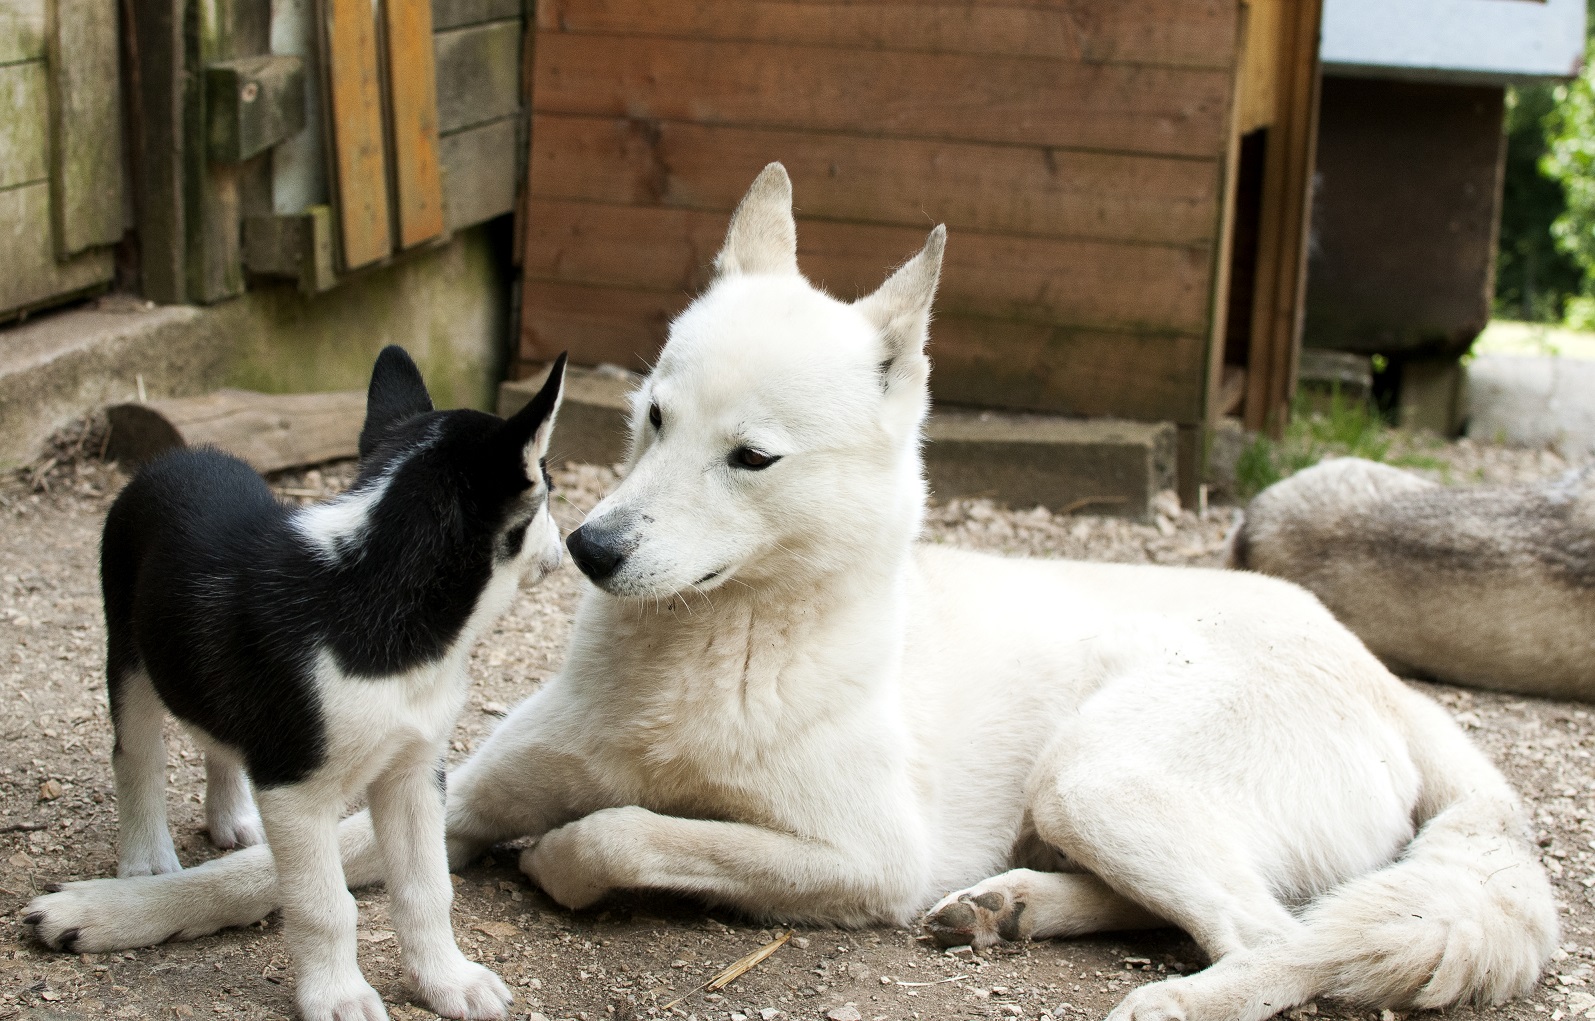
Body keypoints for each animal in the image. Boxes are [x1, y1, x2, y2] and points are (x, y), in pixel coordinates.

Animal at [90, 344, 567, 1021]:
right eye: (548, 489)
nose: (569, 544)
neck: (381, 592)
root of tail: (178, 457)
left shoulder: (415, 772)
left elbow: (425, 886)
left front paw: (446, 980)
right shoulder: (296, 791)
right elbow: (324, 907)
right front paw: (339, 995)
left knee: (217, 734)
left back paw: (231, 816)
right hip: (129, 658)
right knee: (136, 757)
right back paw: (147, 860)